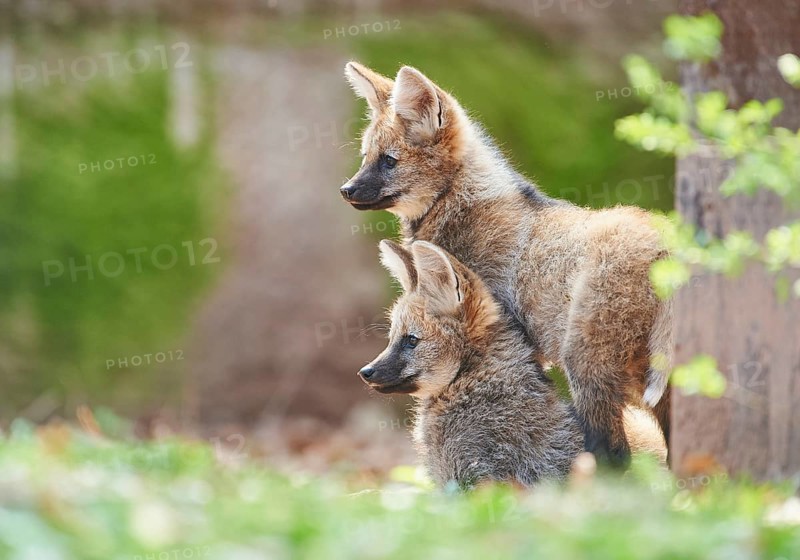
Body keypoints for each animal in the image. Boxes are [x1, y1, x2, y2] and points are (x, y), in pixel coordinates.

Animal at [341, 62, 672, 466]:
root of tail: (668, 245)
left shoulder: (507, 333)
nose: (346, 190)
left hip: (584, 363)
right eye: (365, 157)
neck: (466, 210)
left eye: (389, 161)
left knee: (613, 451)